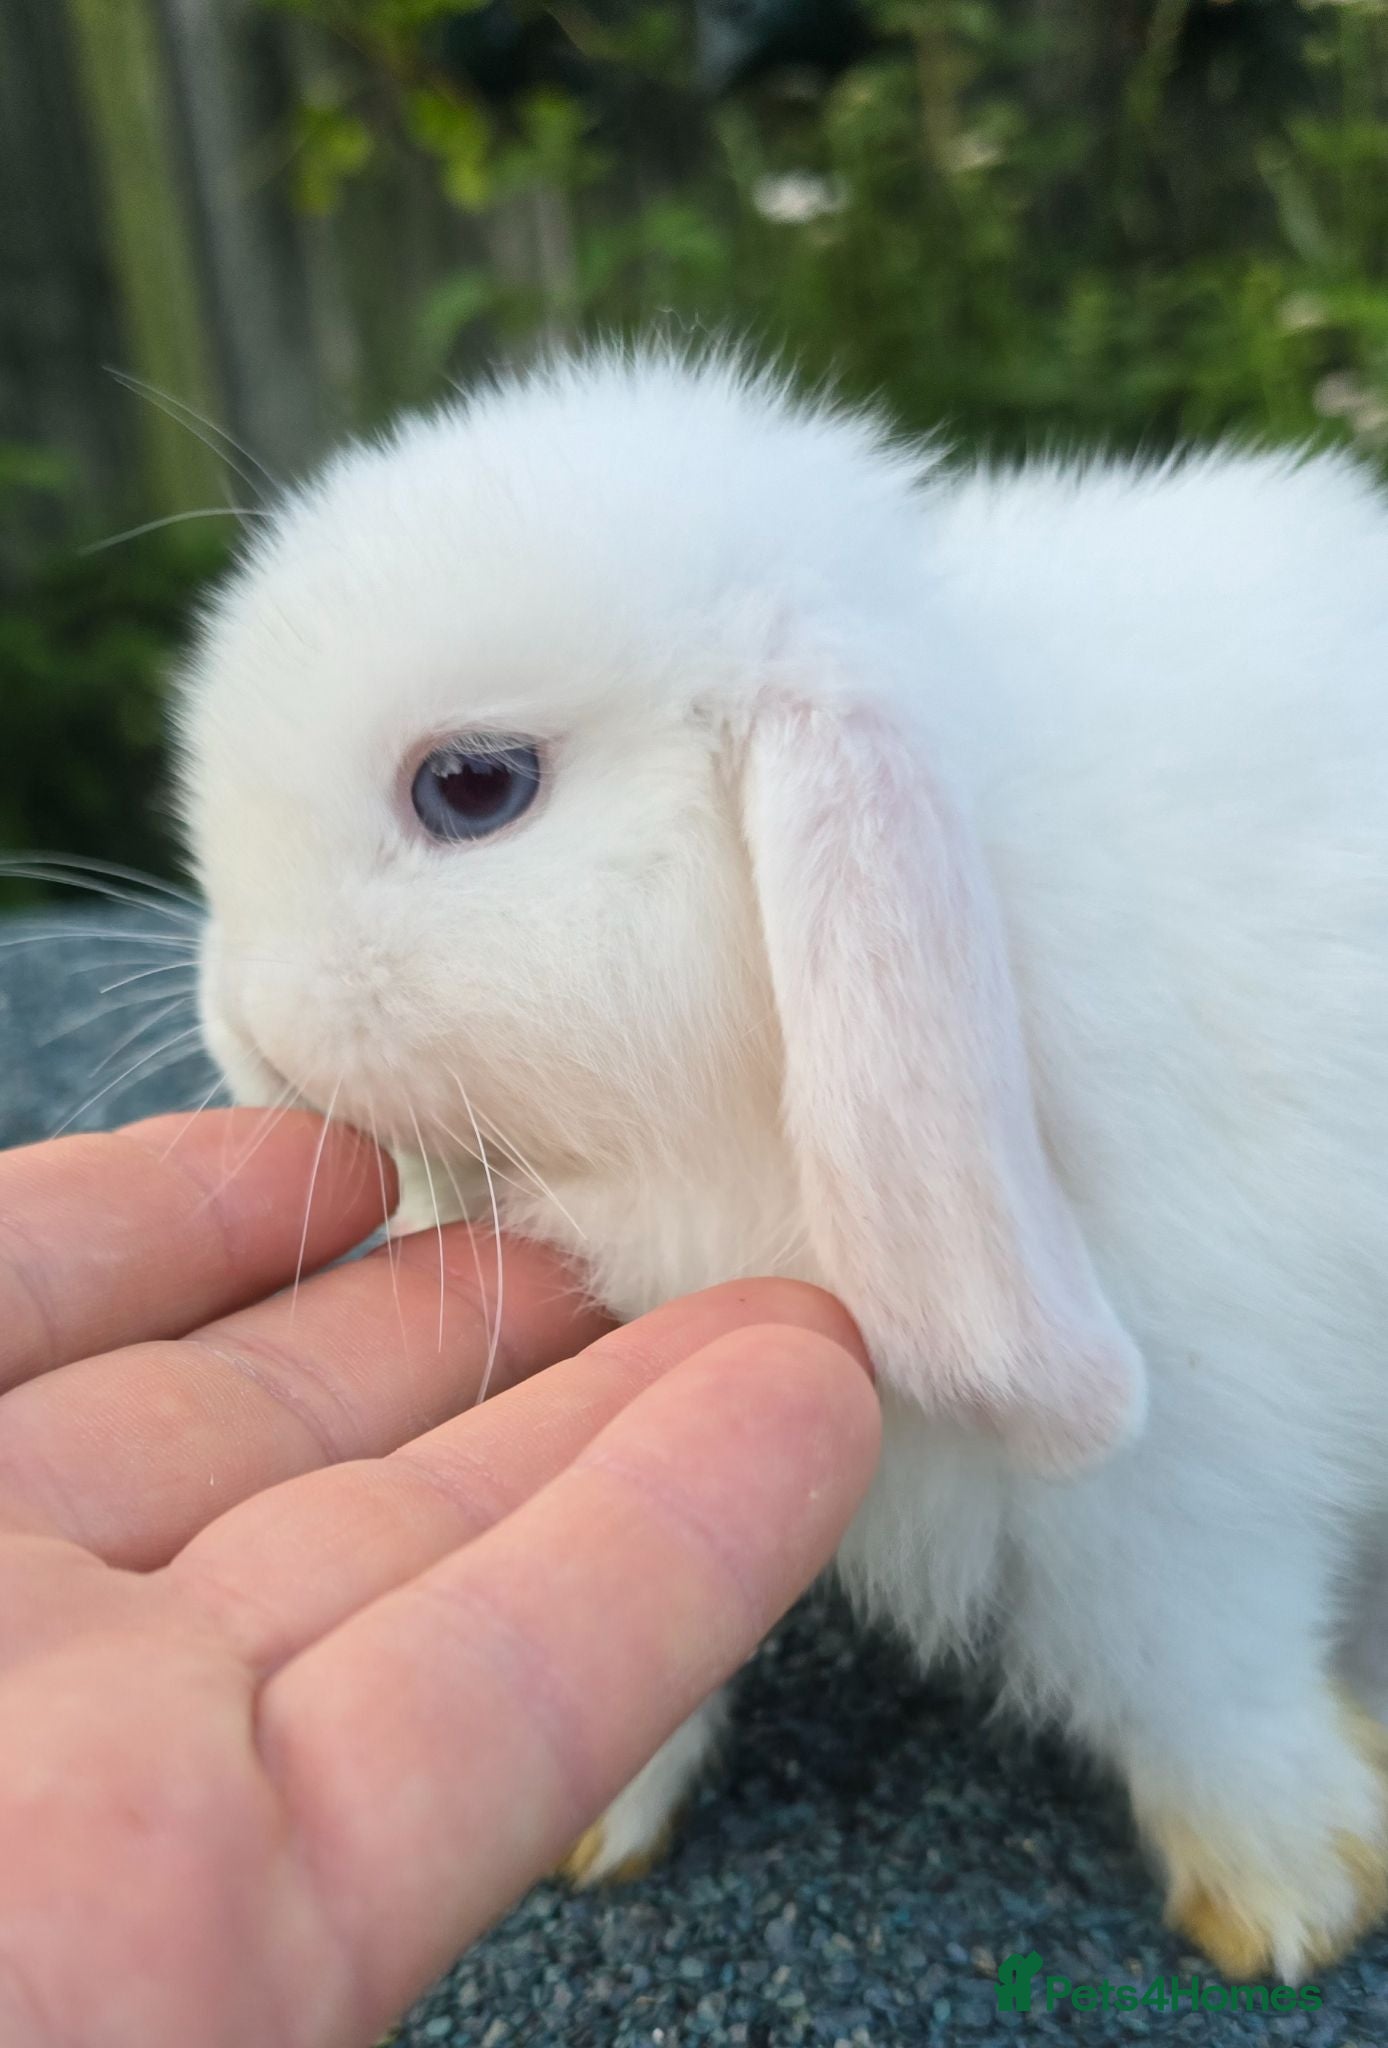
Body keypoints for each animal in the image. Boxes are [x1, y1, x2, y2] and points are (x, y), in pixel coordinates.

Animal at [179, 347, 1388, 1983]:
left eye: (475, 785)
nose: (242, 1020)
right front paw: (595, 1818)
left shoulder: (1190, 1481)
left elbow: (1196, 1666)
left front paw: (1293, 1890)